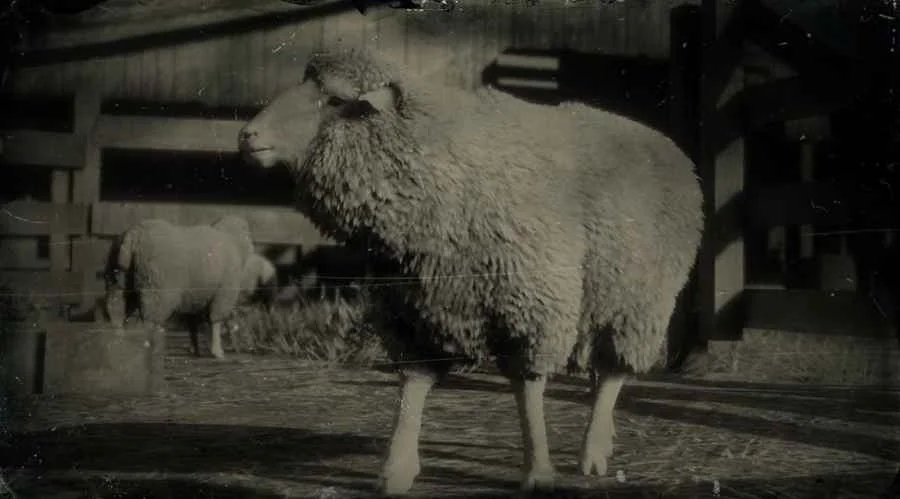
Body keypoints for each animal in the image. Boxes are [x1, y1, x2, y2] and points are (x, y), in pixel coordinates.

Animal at [103, 215, 261, 360]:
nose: (253, 247)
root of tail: (133, 235)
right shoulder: (224, 292)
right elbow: (215, 321)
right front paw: (217, 351)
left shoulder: (194, 296)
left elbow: (192, 323)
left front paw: (195, 349)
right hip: (157, 287)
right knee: (148, 320)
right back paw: (149, 348)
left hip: (117, 279)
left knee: (116, 310)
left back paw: (118, 343)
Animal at [238, 48, 704, 495]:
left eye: (335, 100)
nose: (247, 136)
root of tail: (665, 142)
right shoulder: (415, 309)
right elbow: (412, 387)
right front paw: (397, 468)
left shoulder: (532, 301)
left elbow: (528, 390)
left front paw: (538, 470)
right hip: (601, 294)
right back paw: (599, 444)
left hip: (638, 301)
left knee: (612, 375)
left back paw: (591, 451)